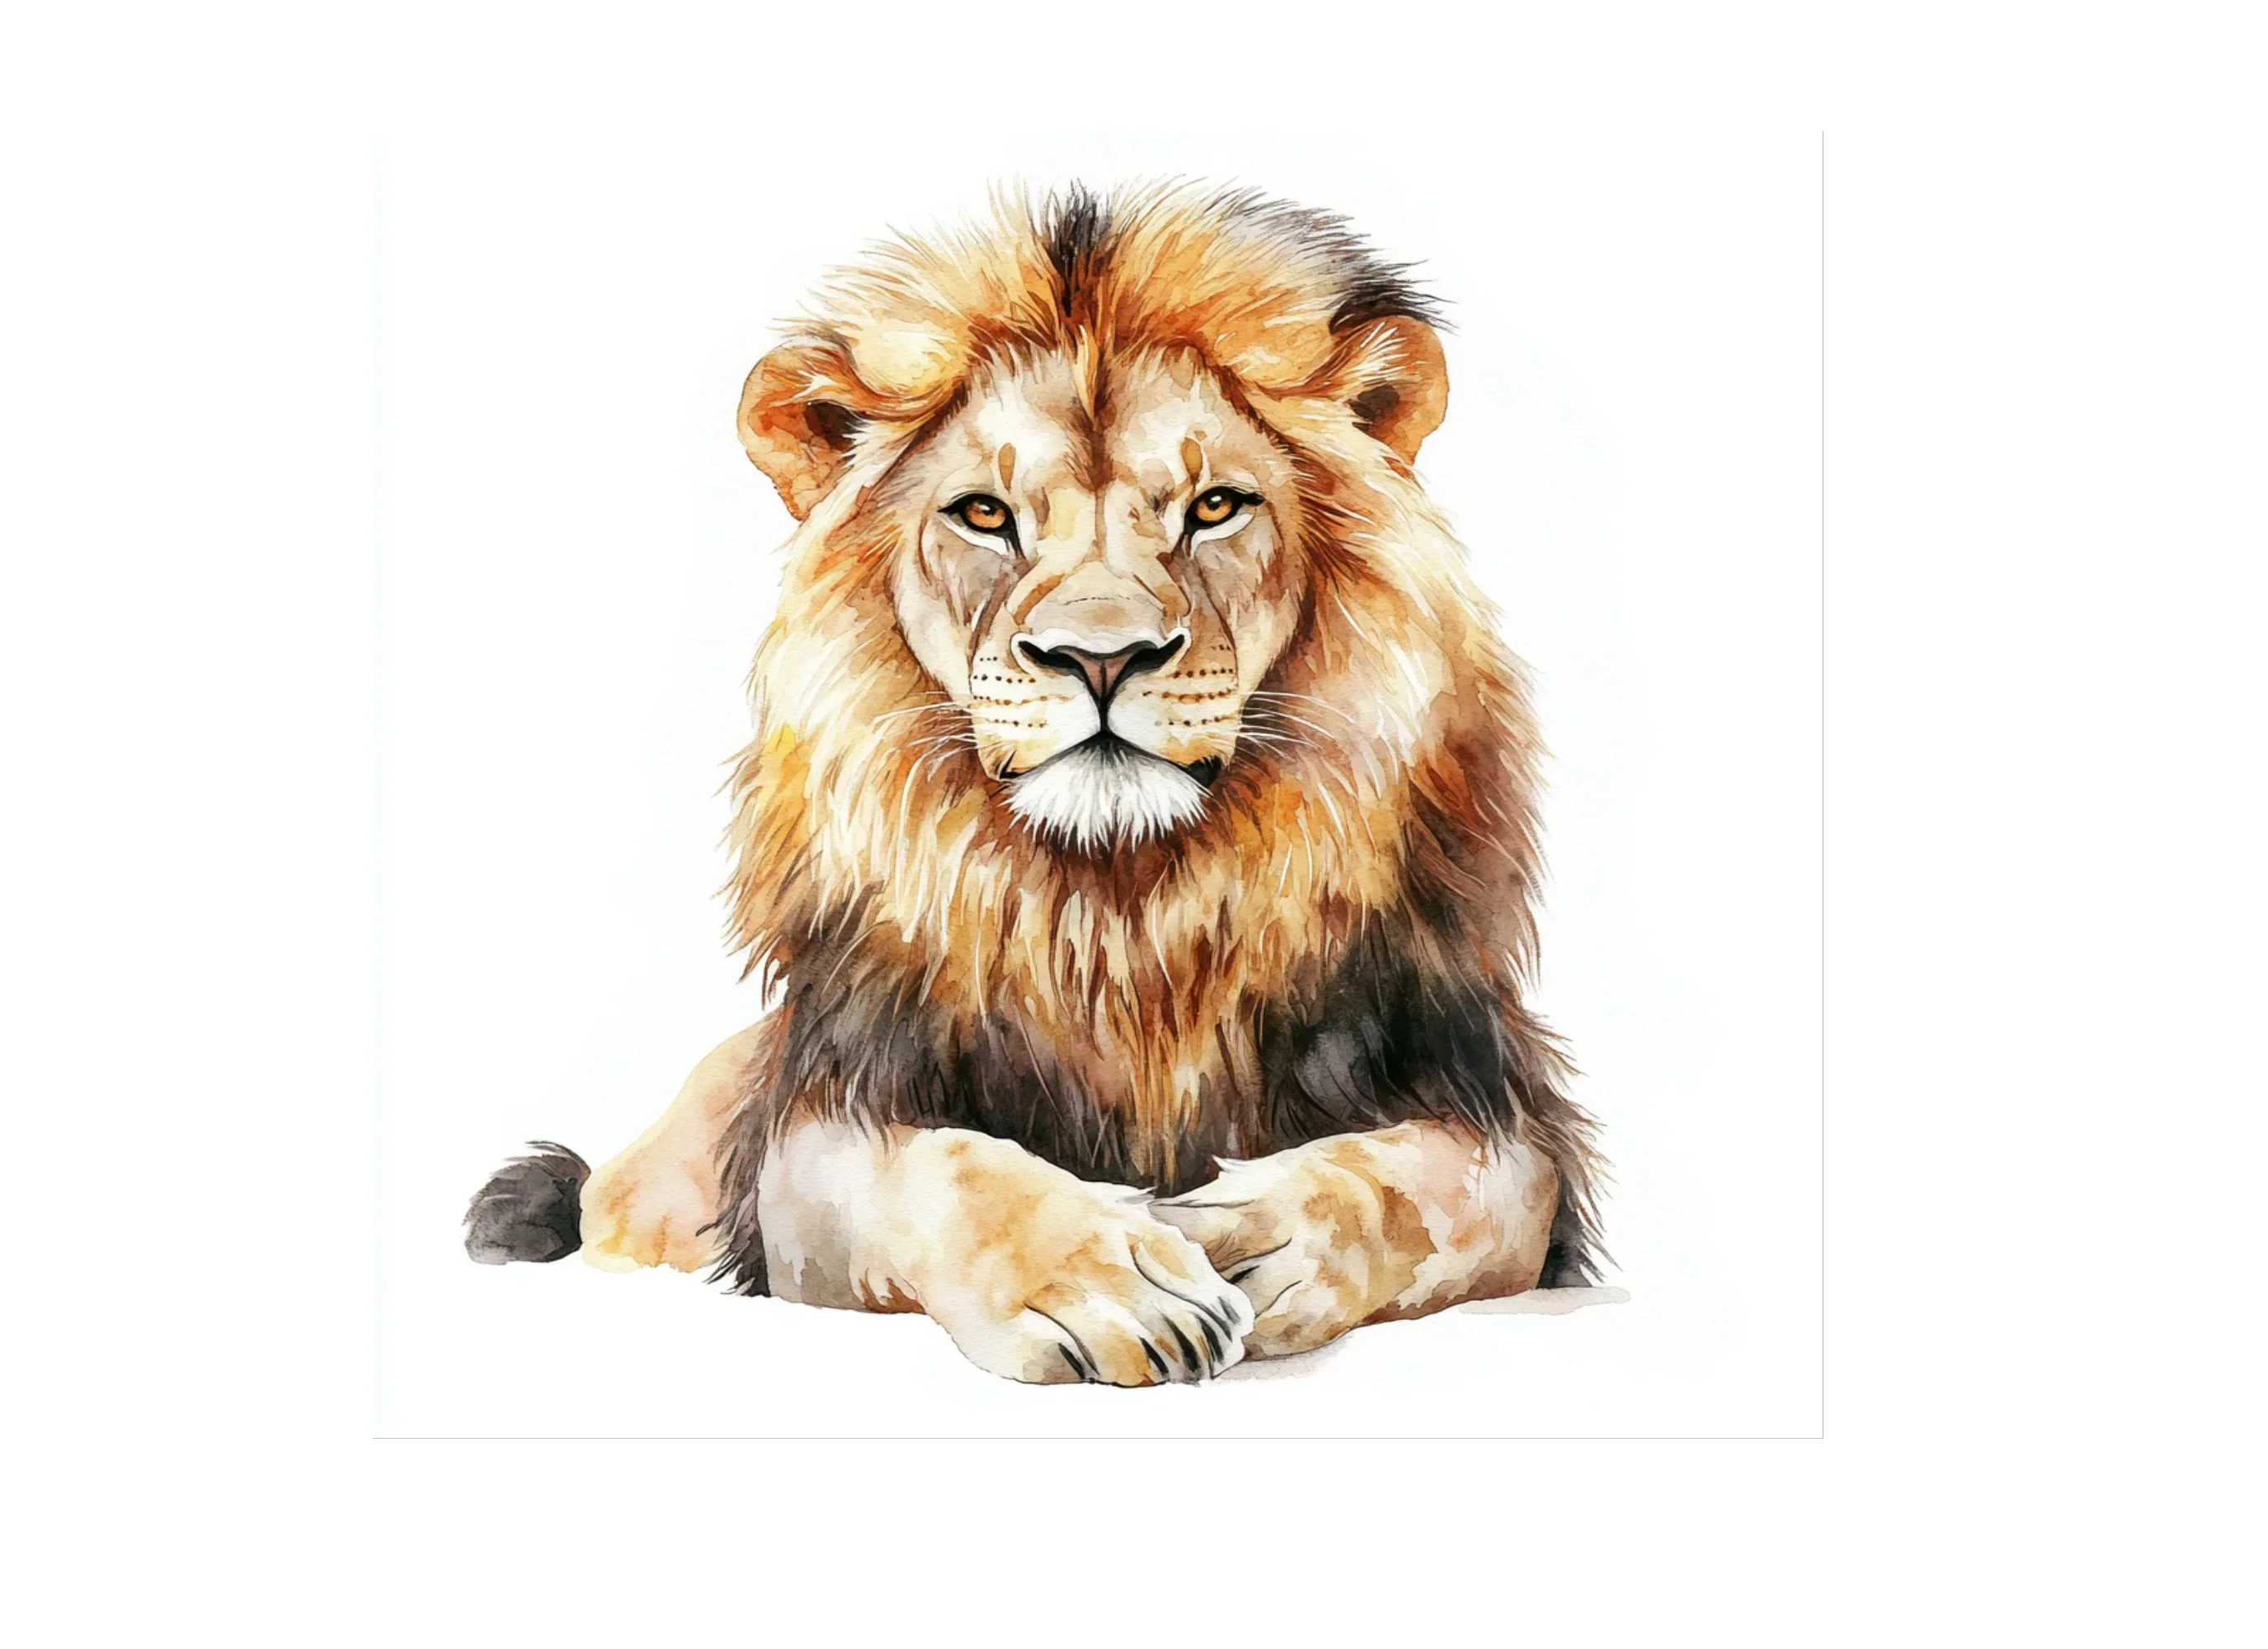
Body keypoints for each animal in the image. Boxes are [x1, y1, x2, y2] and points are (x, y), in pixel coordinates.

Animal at [464, 182, 1606, 1384]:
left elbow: (1446, 1189)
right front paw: (1112, 1283)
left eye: (1214, 507)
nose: (1100, 658)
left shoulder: (1496, 1105)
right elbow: (938, 1173)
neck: (1120, 916)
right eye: (982, 514)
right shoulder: (812, 1137)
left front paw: (1252, 1241)